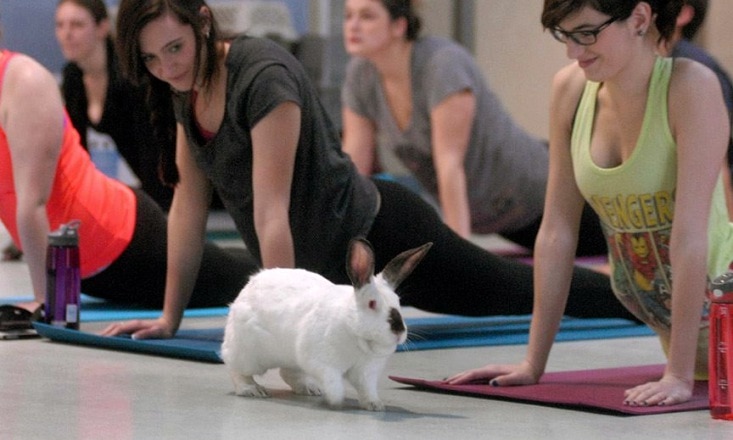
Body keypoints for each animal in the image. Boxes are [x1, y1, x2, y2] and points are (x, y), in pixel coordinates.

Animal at [220, 239, 432, 410]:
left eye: (398, 302)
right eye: (372, 304)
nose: (399, 331)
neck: (355, 335)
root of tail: (249, 286)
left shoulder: (367, 372)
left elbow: (367, 389)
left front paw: (375, 405)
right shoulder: (324, 364)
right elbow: (334, 383)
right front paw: (336, 401)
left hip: (291, 358)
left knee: (287, 373)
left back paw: (310, 389)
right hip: (248, 354)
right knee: (236, 370)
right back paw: (253, 390)